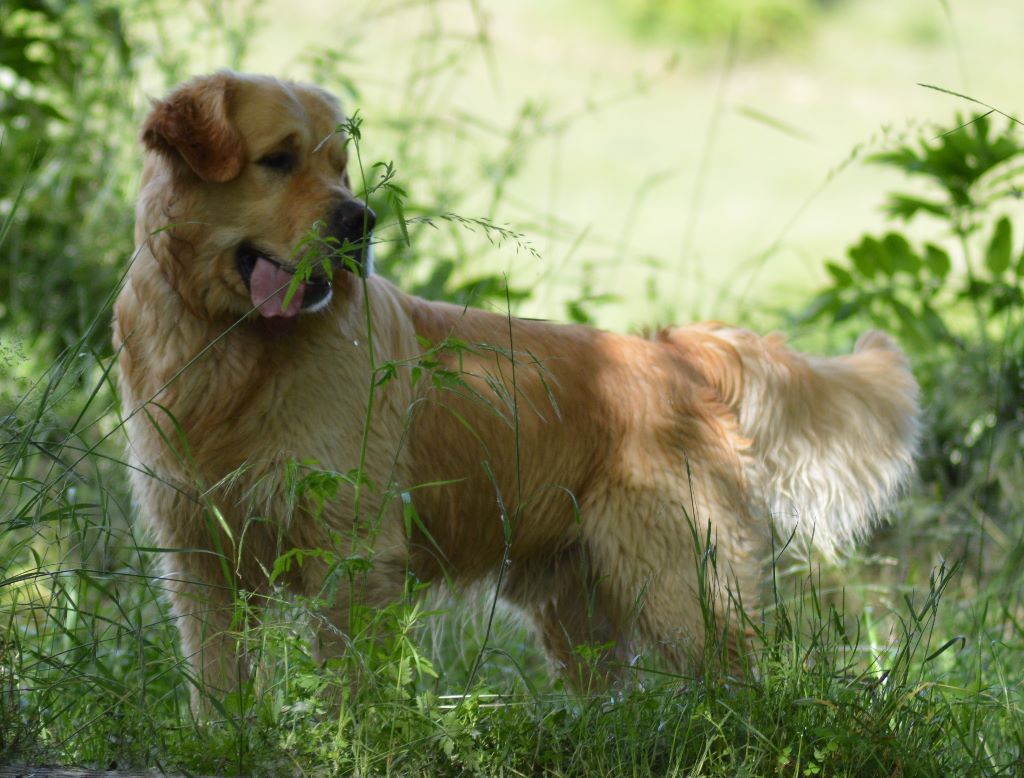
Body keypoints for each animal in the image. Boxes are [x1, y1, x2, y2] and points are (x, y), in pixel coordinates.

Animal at [114, 72, 921, 704]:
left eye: (340, 166)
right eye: (277, 160)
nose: (360, 221)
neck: (232, 350)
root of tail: (672, 351)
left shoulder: (354, 553)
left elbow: (349, 685)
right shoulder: (196, 555)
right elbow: (218, 684)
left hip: (678, 582)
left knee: (740, 681)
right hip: (578, 607)